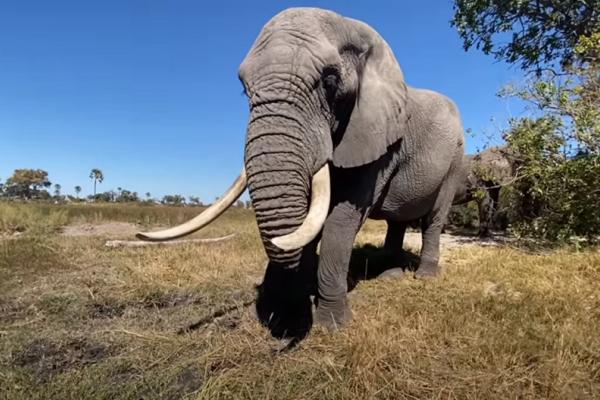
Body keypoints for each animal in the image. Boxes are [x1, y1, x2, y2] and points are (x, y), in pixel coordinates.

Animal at [138, 7, 466, 340]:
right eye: (244, 88)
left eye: (330, 81)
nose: (281, 315)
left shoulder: (378, 137)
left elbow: (340, 219)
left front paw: (332, 324)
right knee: (398, 221)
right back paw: (391, 276)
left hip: (456, 160)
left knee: (434, 218)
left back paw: (424, 277)